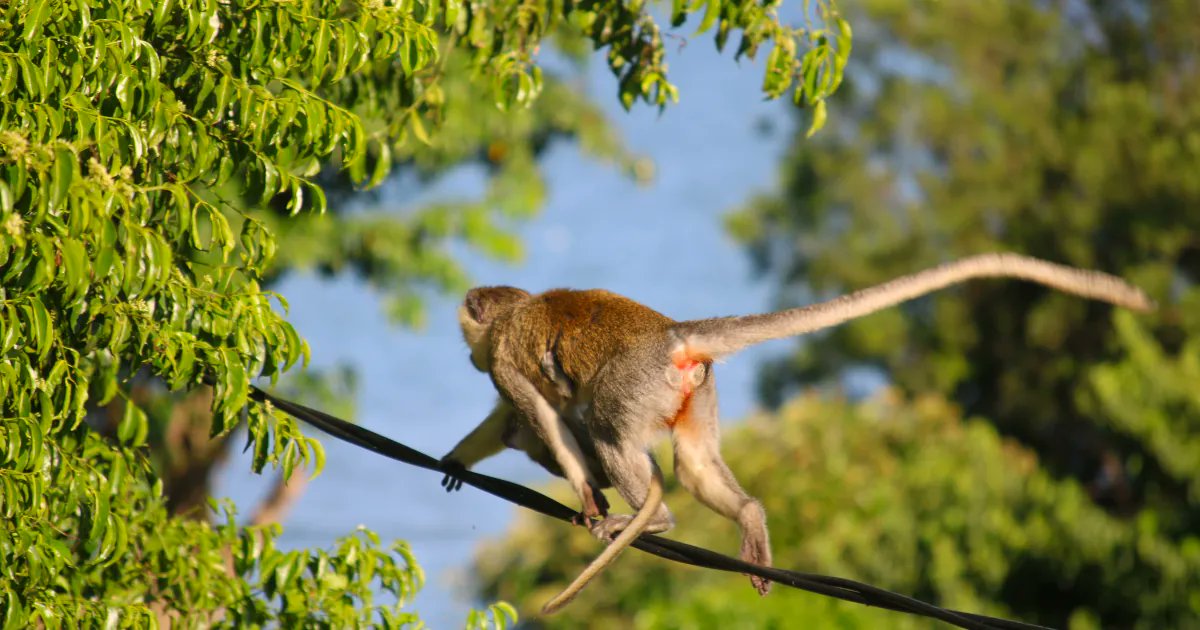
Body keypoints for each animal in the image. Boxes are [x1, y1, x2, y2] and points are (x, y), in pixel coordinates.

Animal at [441, 253, 1153, 608]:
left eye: (472, 344)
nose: (466, 359)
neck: (514, 313)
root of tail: (674, 335)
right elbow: (520, 422)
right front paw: (458, 459)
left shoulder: (504, 361)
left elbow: (541, 420)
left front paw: (588, 498)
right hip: (694, 392)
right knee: (693, 463)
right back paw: (748, 517)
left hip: (635, 384)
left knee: (611, 432)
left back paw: (655, 516)